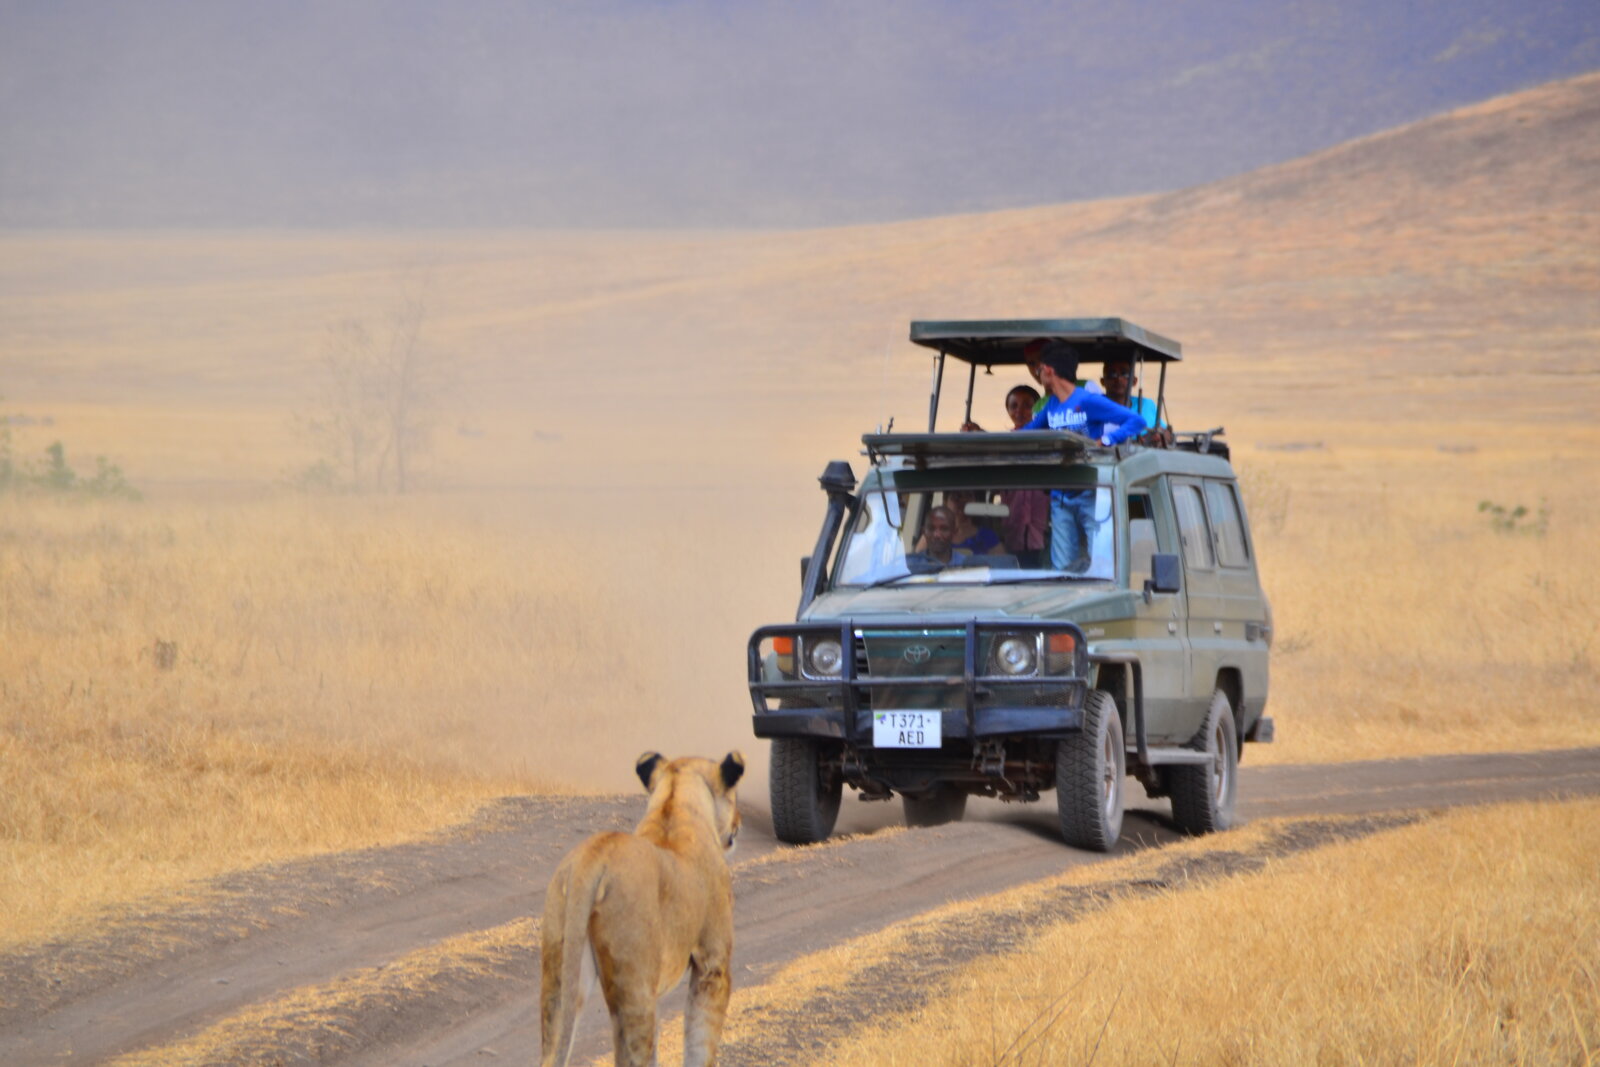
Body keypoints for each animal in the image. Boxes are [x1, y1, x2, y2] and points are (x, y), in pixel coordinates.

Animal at [540, 750, 746, 1067]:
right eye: (734, 797)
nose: (739, 822)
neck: (673, 805)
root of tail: (594, 856)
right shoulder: (713, 965)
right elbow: (699, 1044)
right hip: (634, 987)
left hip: (561, 978)